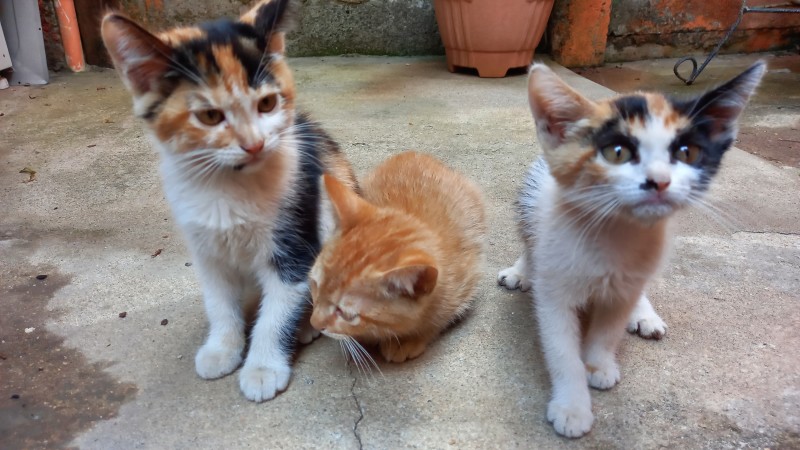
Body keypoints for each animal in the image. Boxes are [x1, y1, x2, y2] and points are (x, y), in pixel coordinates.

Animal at [101, 0, 356, 400]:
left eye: (267, 103)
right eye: (209, 115)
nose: (254, 144)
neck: (228, 183)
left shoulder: (294, 236)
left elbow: (278, 309)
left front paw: (263, 367)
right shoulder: (204, 245)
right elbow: (219, 301)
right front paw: (222, 348)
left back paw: (306, 325)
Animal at [310, 153, 488, 364]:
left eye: (344, 313)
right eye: (314, 284)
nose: (313, 323)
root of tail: (414, 153)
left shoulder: (467, 281)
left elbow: (439, 318)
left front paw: (409, 339)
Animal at [496, 62, 764, 436]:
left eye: (687, 153)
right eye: (617, 152)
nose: (659, 182)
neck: (614, 233)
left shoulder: (627, 282)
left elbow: (608, 331)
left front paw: (599, 365)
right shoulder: (554, 292)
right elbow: (561, 350)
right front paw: (572, 406)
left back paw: (644, 314)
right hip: (530, 203)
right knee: (529, 241)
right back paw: (520, 271)